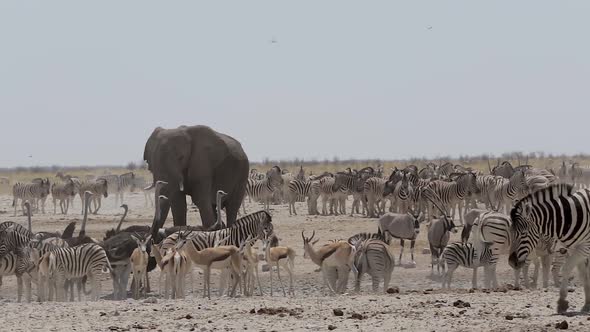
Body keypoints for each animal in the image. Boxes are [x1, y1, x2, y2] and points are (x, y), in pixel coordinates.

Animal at [508, 184, 590, 314]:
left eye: (523, 234)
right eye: (510, 232)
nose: (512, 262)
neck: (568, 218)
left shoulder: (584, 247)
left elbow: (566, 269)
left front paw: (562, 302)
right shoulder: (575, 248)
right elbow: (584, 274)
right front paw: (587, 304)